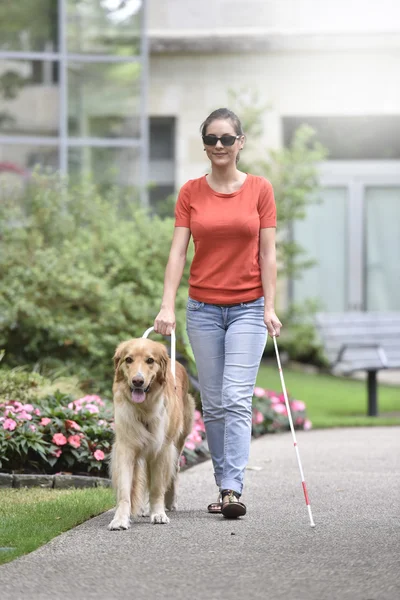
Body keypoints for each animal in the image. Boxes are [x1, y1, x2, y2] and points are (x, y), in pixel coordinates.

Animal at [106, 338, 194, 528]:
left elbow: (157, 488)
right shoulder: (126, 447)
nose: (137, 381)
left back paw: (170, 502)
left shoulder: (162, 449)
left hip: (178, 440)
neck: (143, 408)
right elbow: (125, 489)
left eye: (150, 360)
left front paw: (158, 513)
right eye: (128, 359)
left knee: (174, 469)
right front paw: (120, 519)